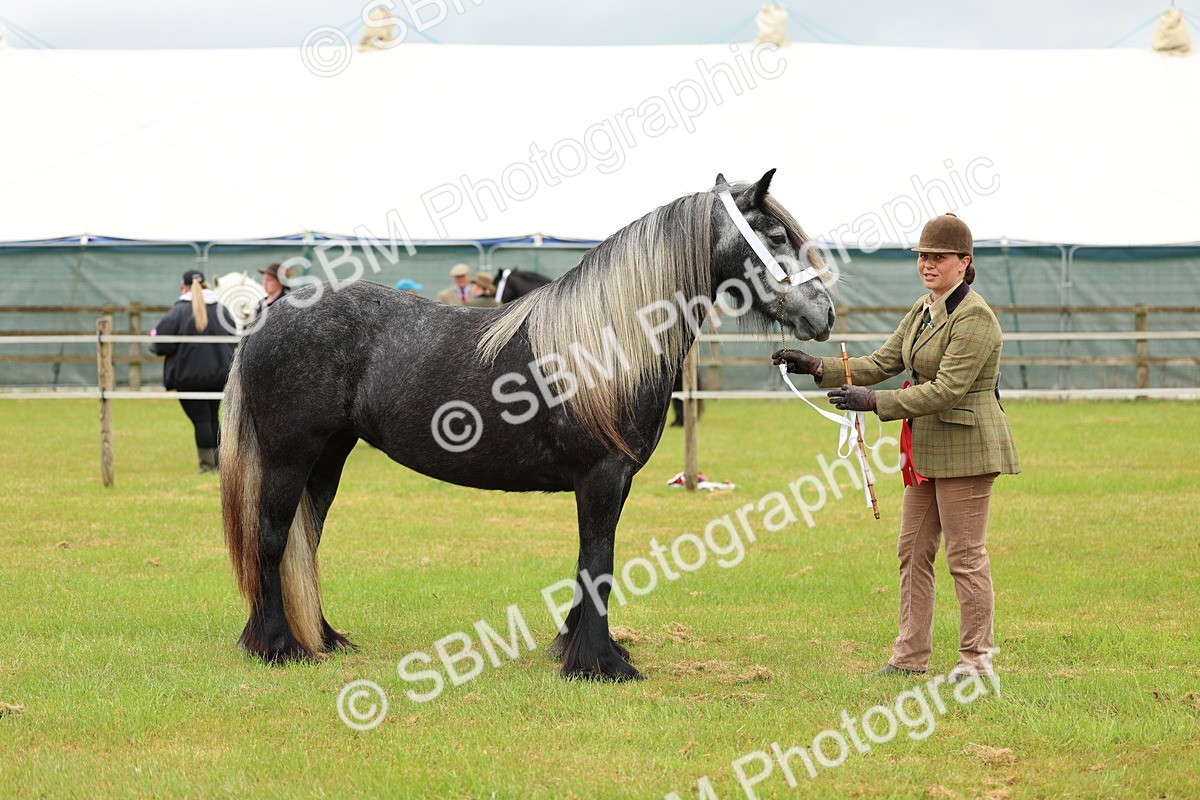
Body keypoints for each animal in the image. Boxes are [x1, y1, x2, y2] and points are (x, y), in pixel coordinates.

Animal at [220, 169, 835, 682]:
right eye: (776, 236)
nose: (824, 314)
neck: (606, 344)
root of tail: (271, 314)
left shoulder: (613, 482)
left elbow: (589, 561)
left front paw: (574, 648)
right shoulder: (602, 476)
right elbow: (600, 562)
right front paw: (601, 665)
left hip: (329, 456)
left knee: (306, 539)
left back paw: (322, 637)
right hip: (290, 455)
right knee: (272, 537)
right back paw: (278, 647)